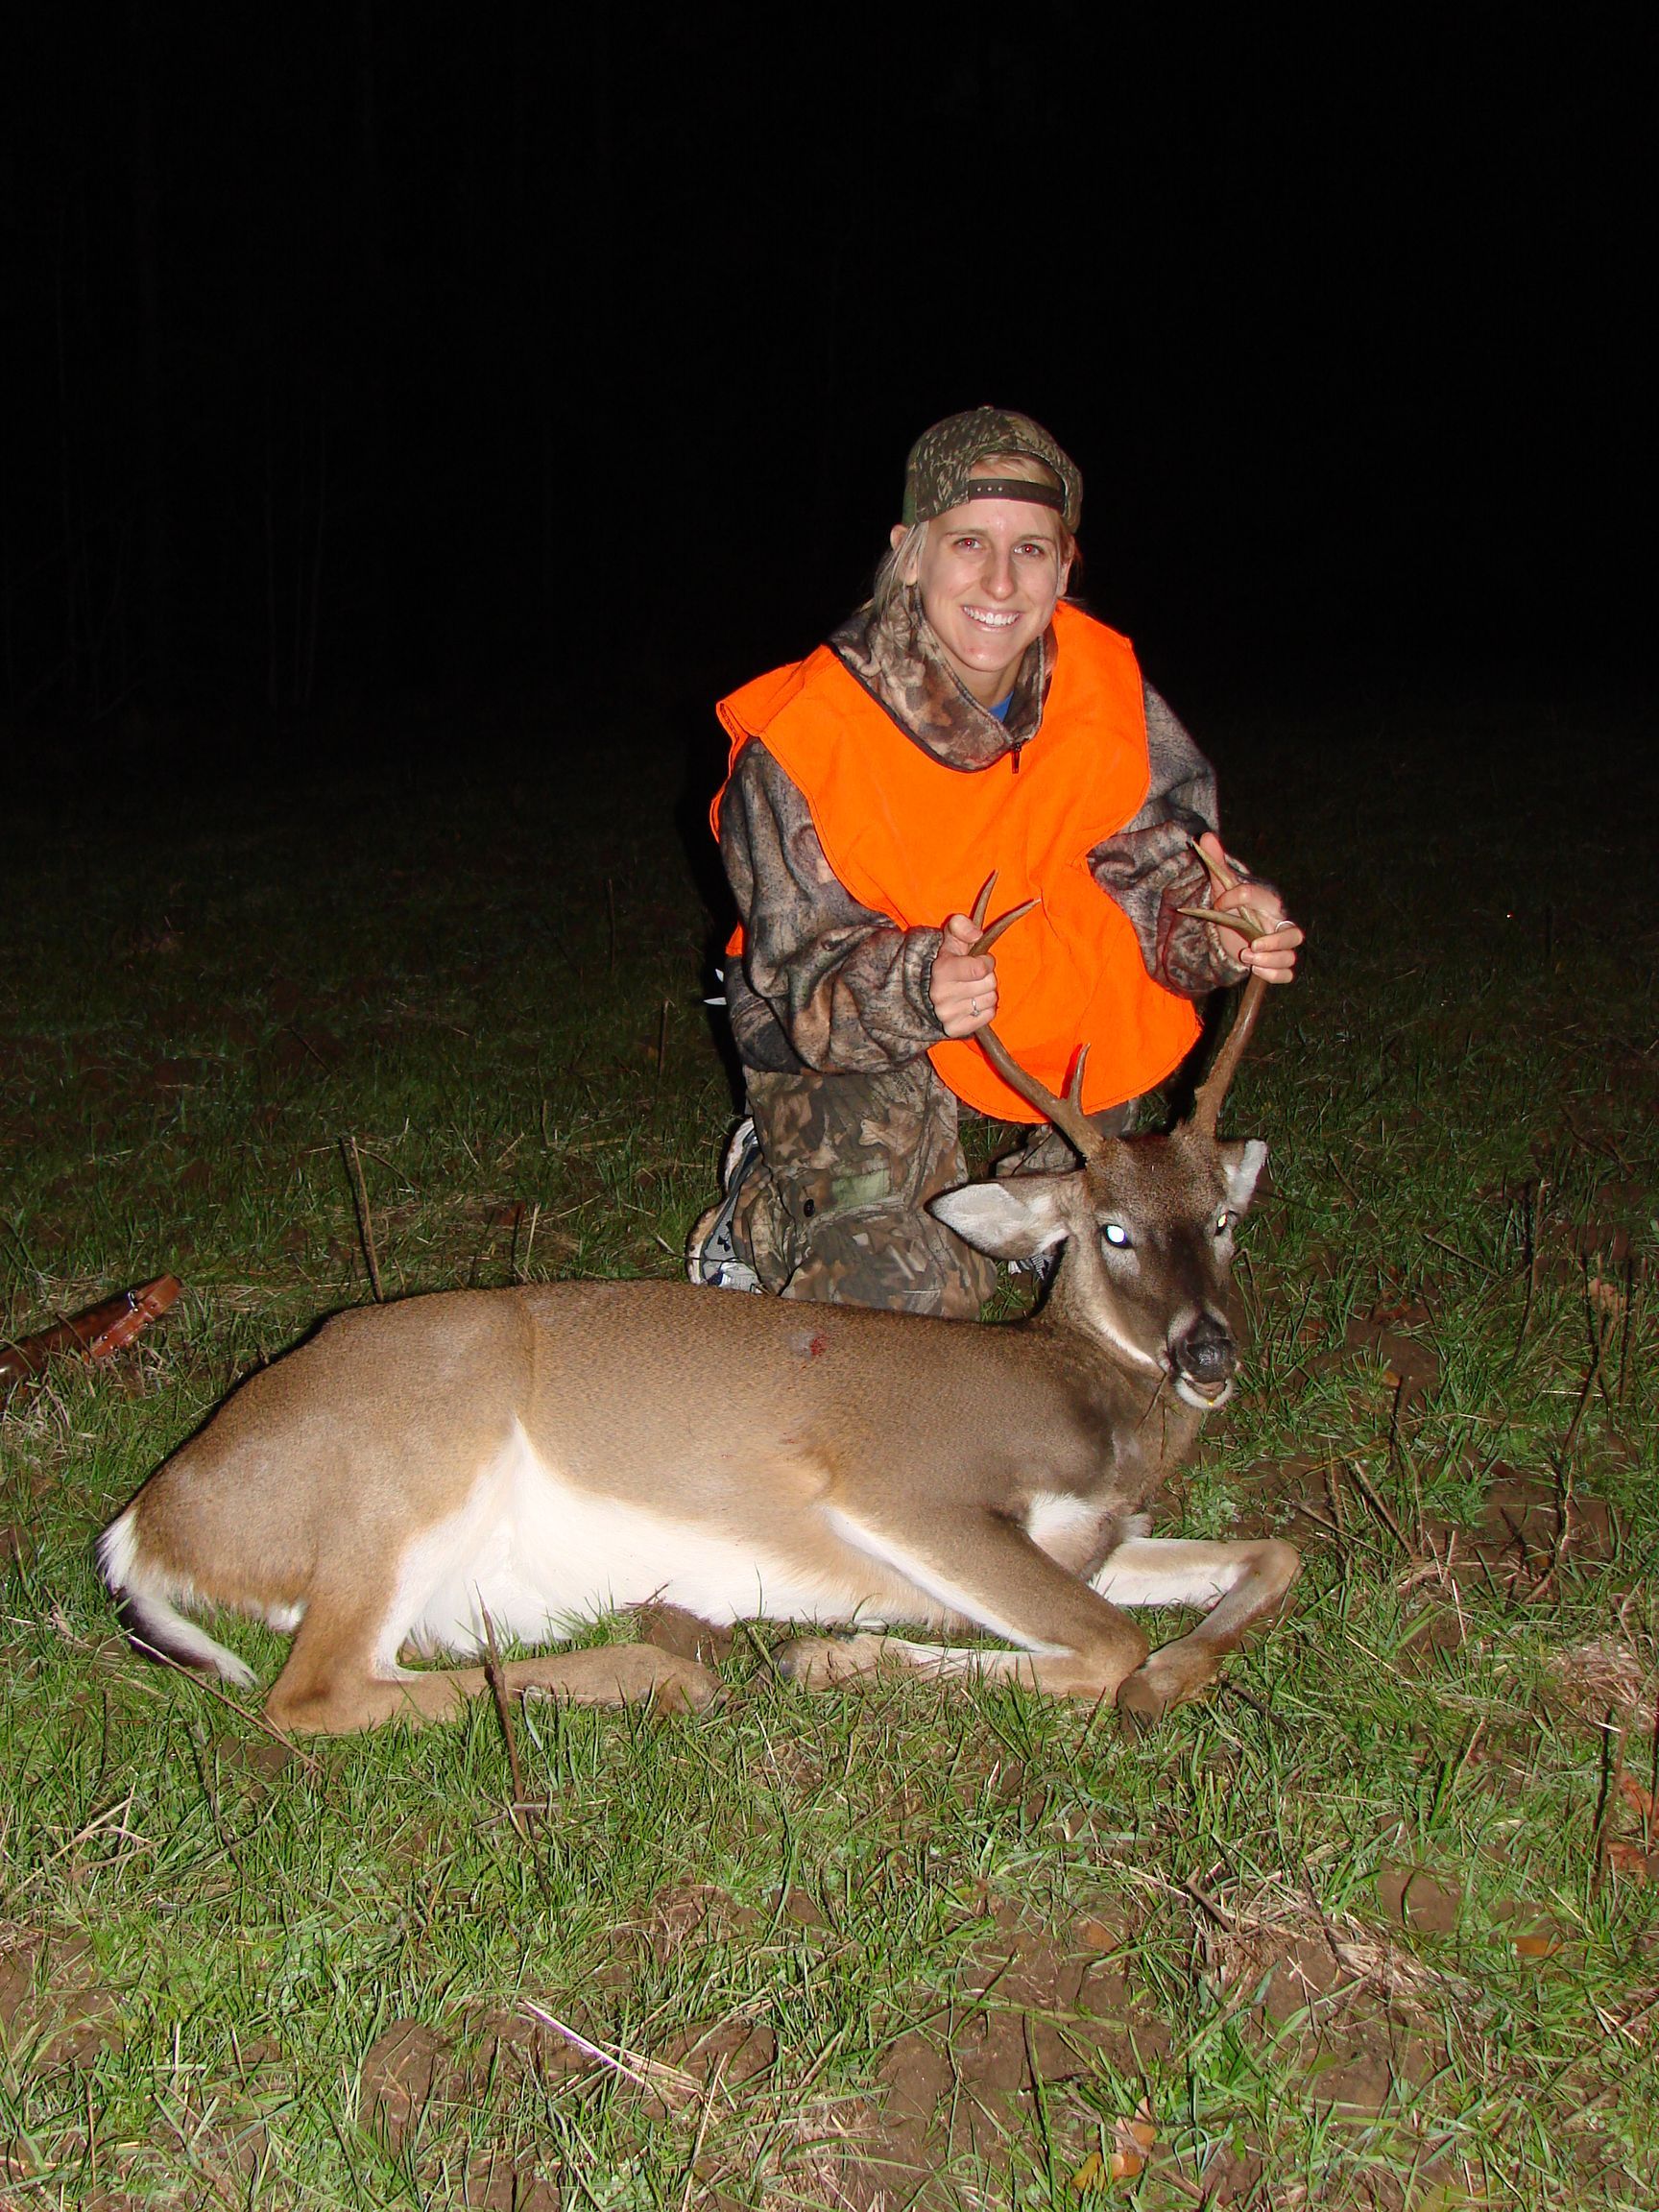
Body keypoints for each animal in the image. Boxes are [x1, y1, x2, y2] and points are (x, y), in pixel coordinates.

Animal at [98, 868, 1299, 1738]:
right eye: (1112, 1230)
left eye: (1224, 1220)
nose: (1208, 1354)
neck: (1084, 1409)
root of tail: (148, 1522)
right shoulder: (908, 1486)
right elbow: (1104, 1647)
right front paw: (834, 1656)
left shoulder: (1098, 1539)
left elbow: (1271, 1555)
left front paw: (1179, 1667)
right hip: (410, 1465)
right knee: (312, 1696)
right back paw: (673, 1667)